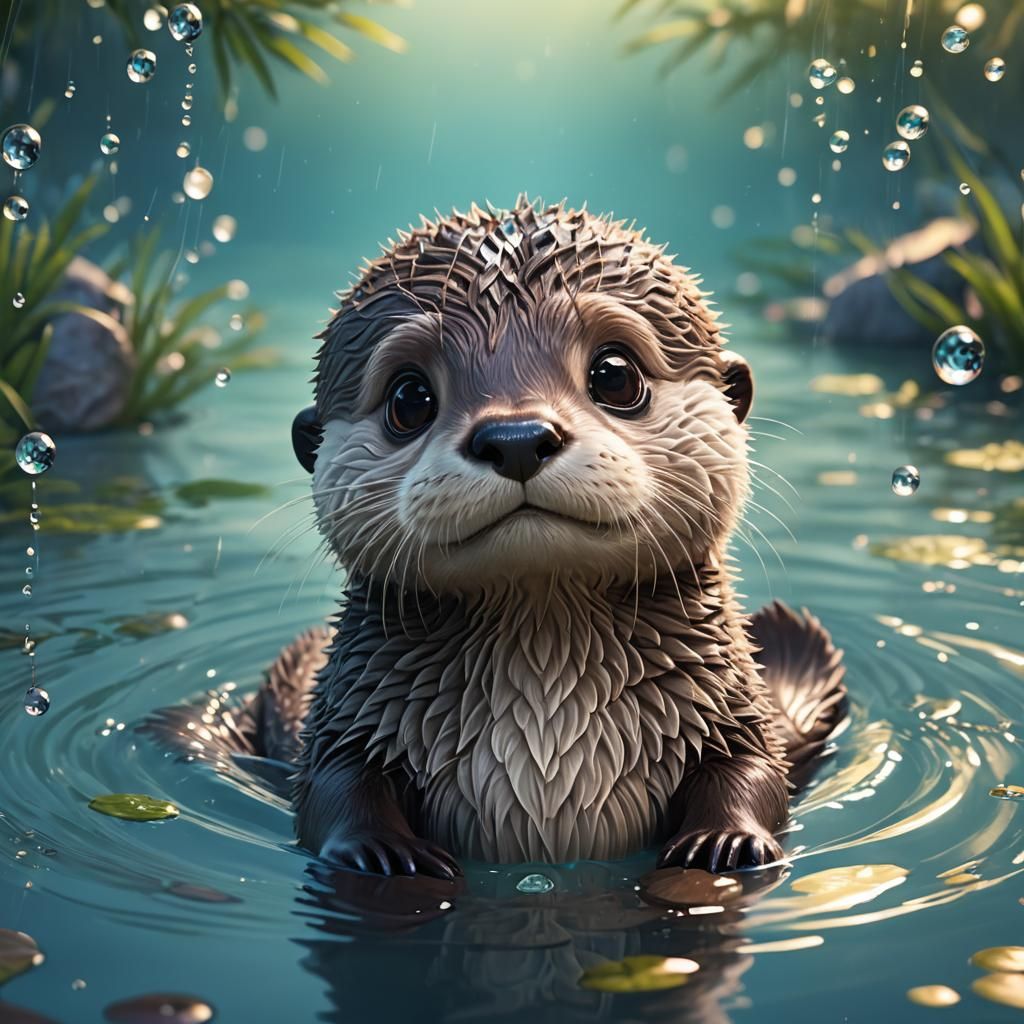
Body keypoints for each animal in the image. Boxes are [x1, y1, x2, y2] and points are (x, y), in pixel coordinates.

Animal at [153, 195, 846, 878]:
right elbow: (333, 788)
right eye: (410, 398)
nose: (516, 437)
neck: (544, 709)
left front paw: (728, 841)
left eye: (615, 375)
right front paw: (380, 851)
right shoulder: (352, 721)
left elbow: (753, 772)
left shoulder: (727, 708)